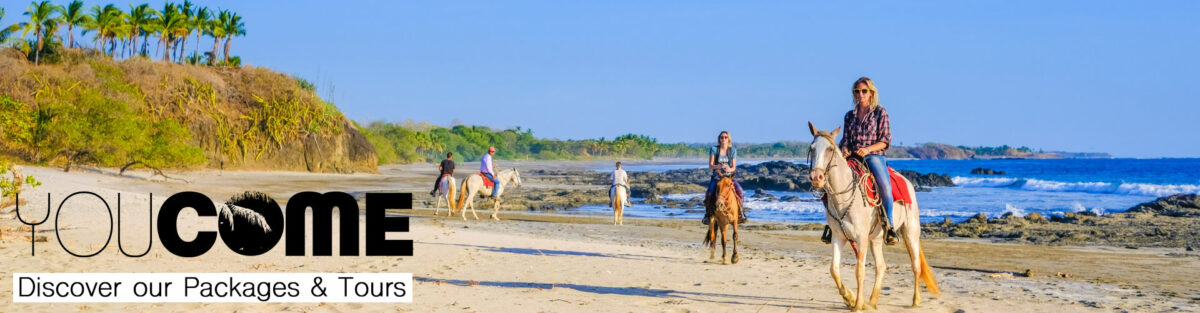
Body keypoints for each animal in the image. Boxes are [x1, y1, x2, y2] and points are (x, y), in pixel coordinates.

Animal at [806, 121, 936, 309]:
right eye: (812, 148)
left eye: (830, 149)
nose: (817, 177)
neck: (843, 197)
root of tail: (907, 182)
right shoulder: (838, 237)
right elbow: (834, 269)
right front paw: (849, 297)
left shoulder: (861, 238)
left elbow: (859, 270)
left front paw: (857, 304)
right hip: (876, 238)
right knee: (881, 266)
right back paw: (873, 301)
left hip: (910, 232)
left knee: (916, 266)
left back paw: (915, 300)